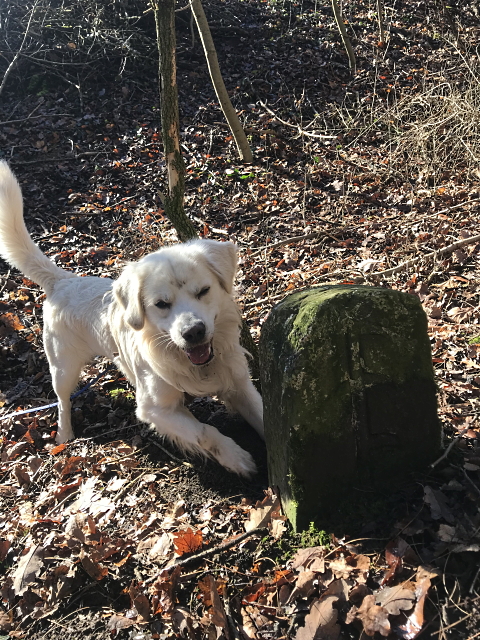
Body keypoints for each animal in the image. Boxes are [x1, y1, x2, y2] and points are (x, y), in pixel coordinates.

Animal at [0, 164, 264, 476]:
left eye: (203, 291)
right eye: (161, 304)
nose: (194, 332)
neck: (193, 366)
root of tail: (62, 280)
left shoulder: (239, 383)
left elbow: (265, 415)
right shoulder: (155, 409)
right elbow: (204, 432)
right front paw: (237, 458)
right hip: (63, 368)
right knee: (62, 401)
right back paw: (64, 434)